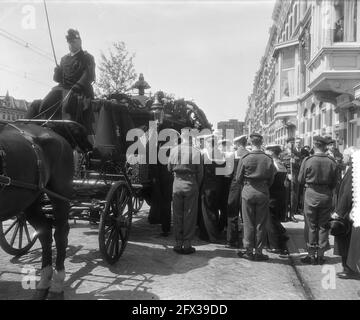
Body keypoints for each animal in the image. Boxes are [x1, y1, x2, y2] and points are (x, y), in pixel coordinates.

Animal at [0, 122, 74, 300]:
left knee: (60, 234)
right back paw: (43, 284)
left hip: (60, 195)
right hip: (29, 199)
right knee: (45, 231)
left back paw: (56, 286)